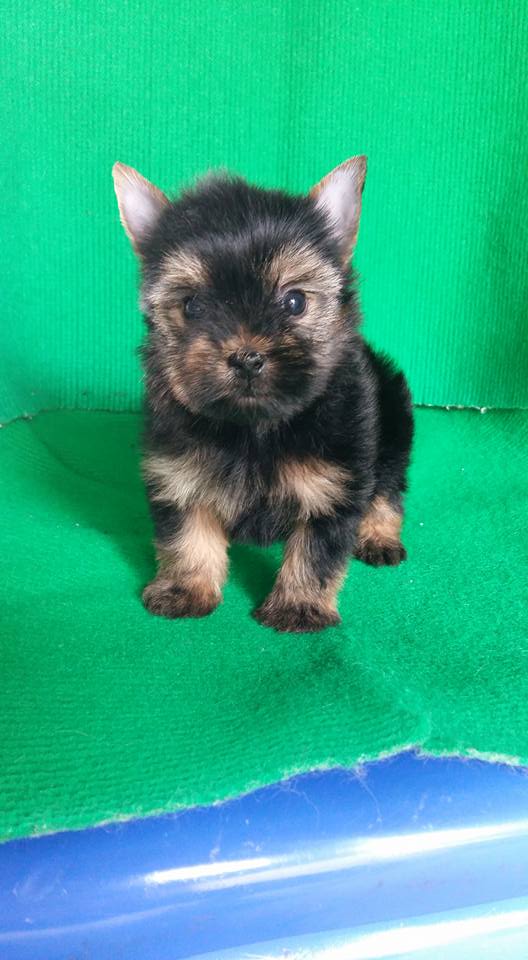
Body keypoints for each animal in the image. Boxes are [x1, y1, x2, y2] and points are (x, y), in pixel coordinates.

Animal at [112, 157, 413, 632]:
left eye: (294, 302)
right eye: (192, 306)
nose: (247, 358)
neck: (254, 428)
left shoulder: (336, 479)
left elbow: (318, 548)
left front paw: (298, 606)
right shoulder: (179, 471)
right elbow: (186, 529)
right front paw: (186, 589)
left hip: (395, 417)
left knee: (388, 484)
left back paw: (379, 533)